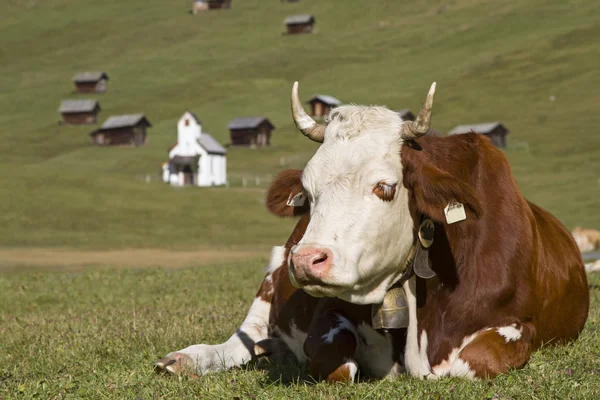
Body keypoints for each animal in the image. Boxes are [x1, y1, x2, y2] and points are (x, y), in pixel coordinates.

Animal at [156, 81, 592, 382]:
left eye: (385, 187)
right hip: (272, 273)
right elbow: (334, 359)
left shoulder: (518, 326)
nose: (307, 260)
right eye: (308, 193)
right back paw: (187, 359)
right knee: (241, 339)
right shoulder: (326, 315)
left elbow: (468, 364)